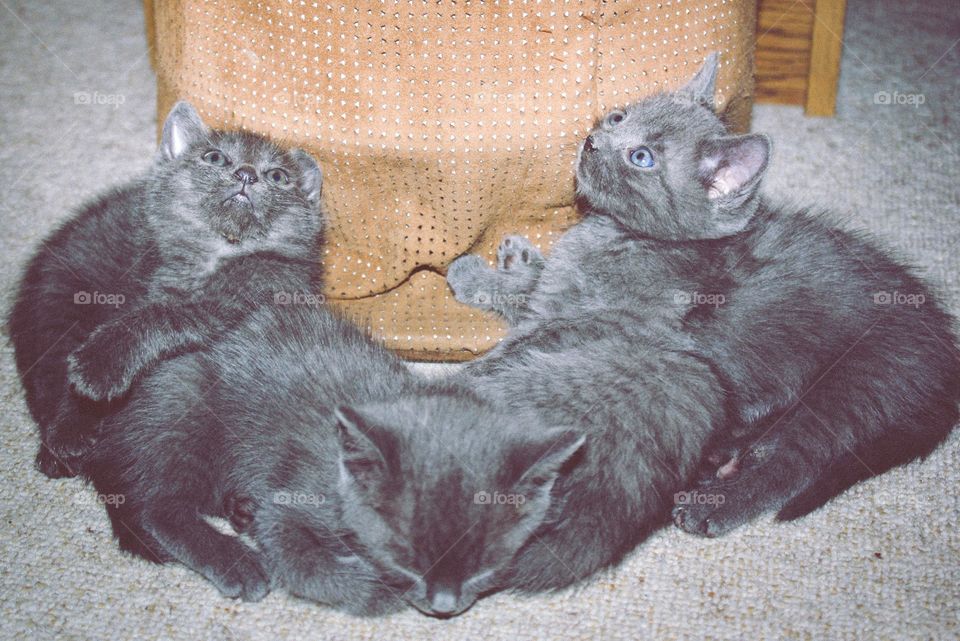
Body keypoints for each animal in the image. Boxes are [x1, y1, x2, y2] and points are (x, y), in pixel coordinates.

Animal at [8, 101, 322, 476]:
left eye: (277, 176)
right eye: (215, 158)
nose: (246, 174)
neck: (216, 253)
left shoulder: (263, 288)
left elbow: (166, 316)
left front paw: (99, 367)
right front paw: (74, 421)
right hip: (55, 299)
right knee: (48, 371)